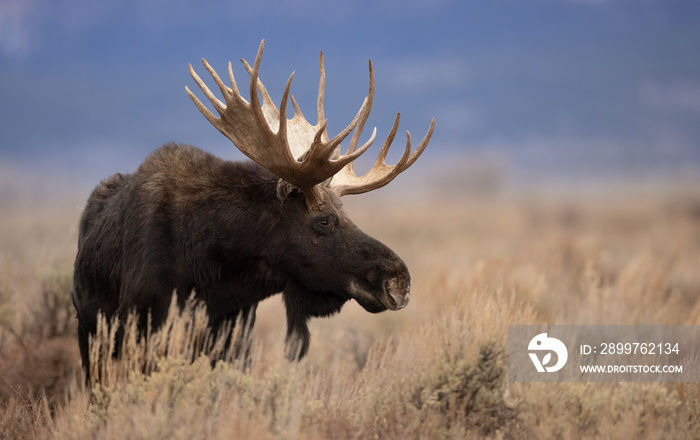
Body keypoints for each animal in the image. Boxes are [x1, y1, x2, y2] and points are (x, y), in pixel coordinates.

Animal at [71, 39, 432, 380]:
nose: (399, 280)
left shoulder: (237, 336)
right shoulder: (147, 331)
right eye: (323, 221)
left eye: (345, 213)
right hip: (91, 340)